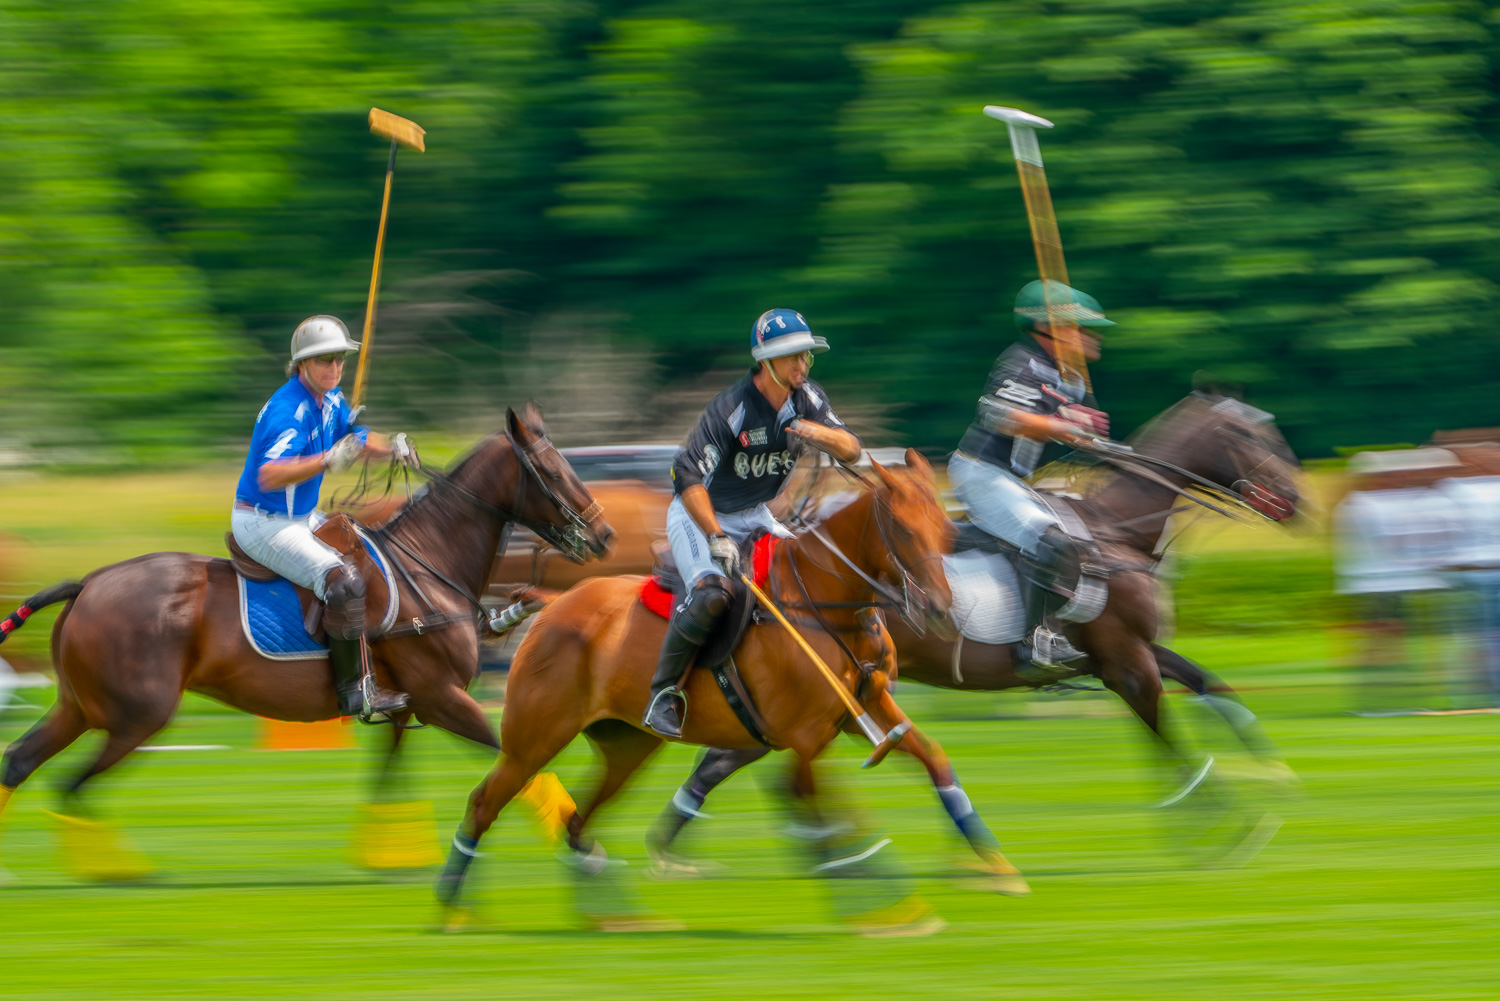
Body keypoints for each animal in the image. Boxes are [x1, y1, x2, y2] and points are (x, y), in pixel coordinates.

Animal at [0, 402, 615, 834]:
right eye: (551, 469)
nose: (605, 535)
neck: (430, 562)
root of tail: (88, 582)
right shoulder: (442, 697)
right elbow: (518, 765)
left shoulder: (407, 707)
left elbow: (388, 782)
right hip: (137, 714)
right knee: (72, 784)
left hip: (79, 705)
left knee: (20, 761)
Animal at [429, 453, 960, 918]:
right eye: (906, 531)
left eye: (947, 528)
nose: (939, 609)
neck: (823, 602)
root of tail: (554, 601)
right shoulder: (806, 738)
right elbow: (835, 815)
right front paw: (882, 905)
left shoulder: (864, 711)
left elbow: (933, 759)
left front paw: (971, 857)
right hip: (534, 736)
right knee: (486, 802)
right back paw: (454, 906)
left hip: (628, 745)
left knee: (577, 820)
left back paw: (613, 912)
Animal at [654, 390, 1302, 870]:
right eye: (1253, 438)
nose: (1298, 502)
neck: (1116, 533)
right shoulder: (1126, 663)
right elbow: (1171, 738)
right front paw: (1227, 826)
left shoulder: (1127, 653)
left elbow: (1210, 683)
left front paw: (1275, 770)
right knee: (732, 754)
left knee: (728, 754)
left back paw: (679, 845)